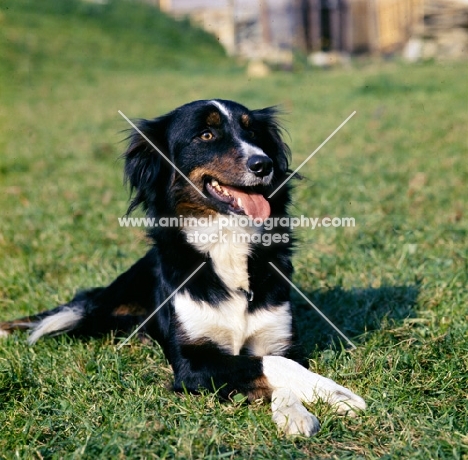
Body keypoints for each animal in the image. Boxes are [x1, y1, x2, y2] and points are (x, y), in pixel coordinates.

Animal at [0, 99, 366, 434]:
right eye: (206, 135)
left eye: (253, 133)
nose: (263, 164)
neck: (227, 241)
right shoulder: (193, 363)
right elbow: (268, 365)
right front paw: (337, 393)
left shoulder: (279, 340)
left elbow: (277, 364)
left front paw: (296, 412)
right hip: (110, 298)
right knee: (71, 310)